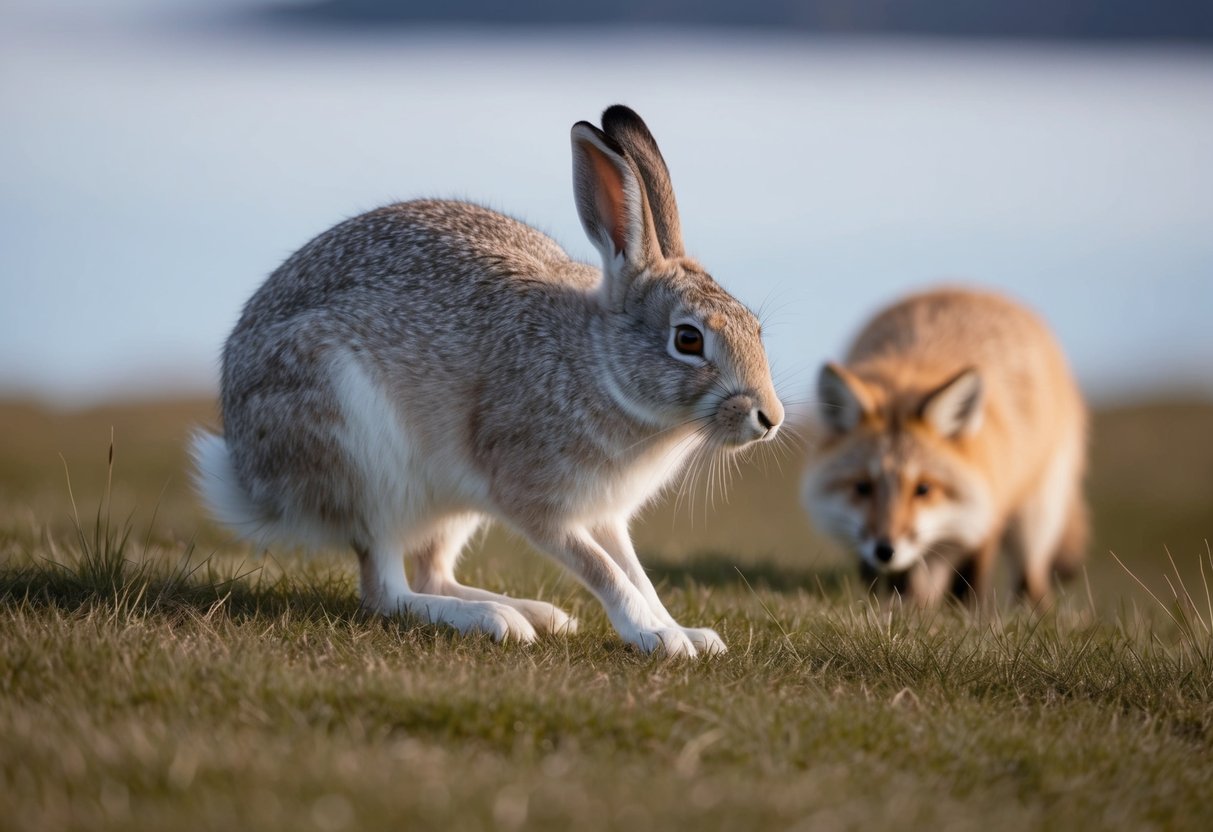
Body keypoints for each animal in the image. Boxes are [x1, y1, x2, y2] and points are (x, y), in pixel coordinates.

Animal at [191, 105, 784, 657]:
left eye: (755, 329)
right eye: (688, 340)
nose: (770, 419)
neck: (597, 364)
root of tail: (252, 479)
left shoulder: (604, 515)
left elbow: (635, 572)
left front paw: (686, 632)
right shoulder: (534, 499)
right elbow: (603, 570)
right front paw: (657, 638)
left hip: (446, 504)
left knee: (433, 573)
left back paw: (534, 613)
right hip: (364, 461)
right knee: (386, 589)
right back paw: (494, 621)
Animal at [801, 287, 1088, 605]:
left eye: (923, 489)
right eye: (862, 487)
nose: (885, 551)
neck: (912, 367)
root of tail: (968, 288)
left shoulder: (987, 510)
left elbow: (971, 576)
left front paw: (969, 611)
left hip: (1034, 516)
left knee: (1030, 576)